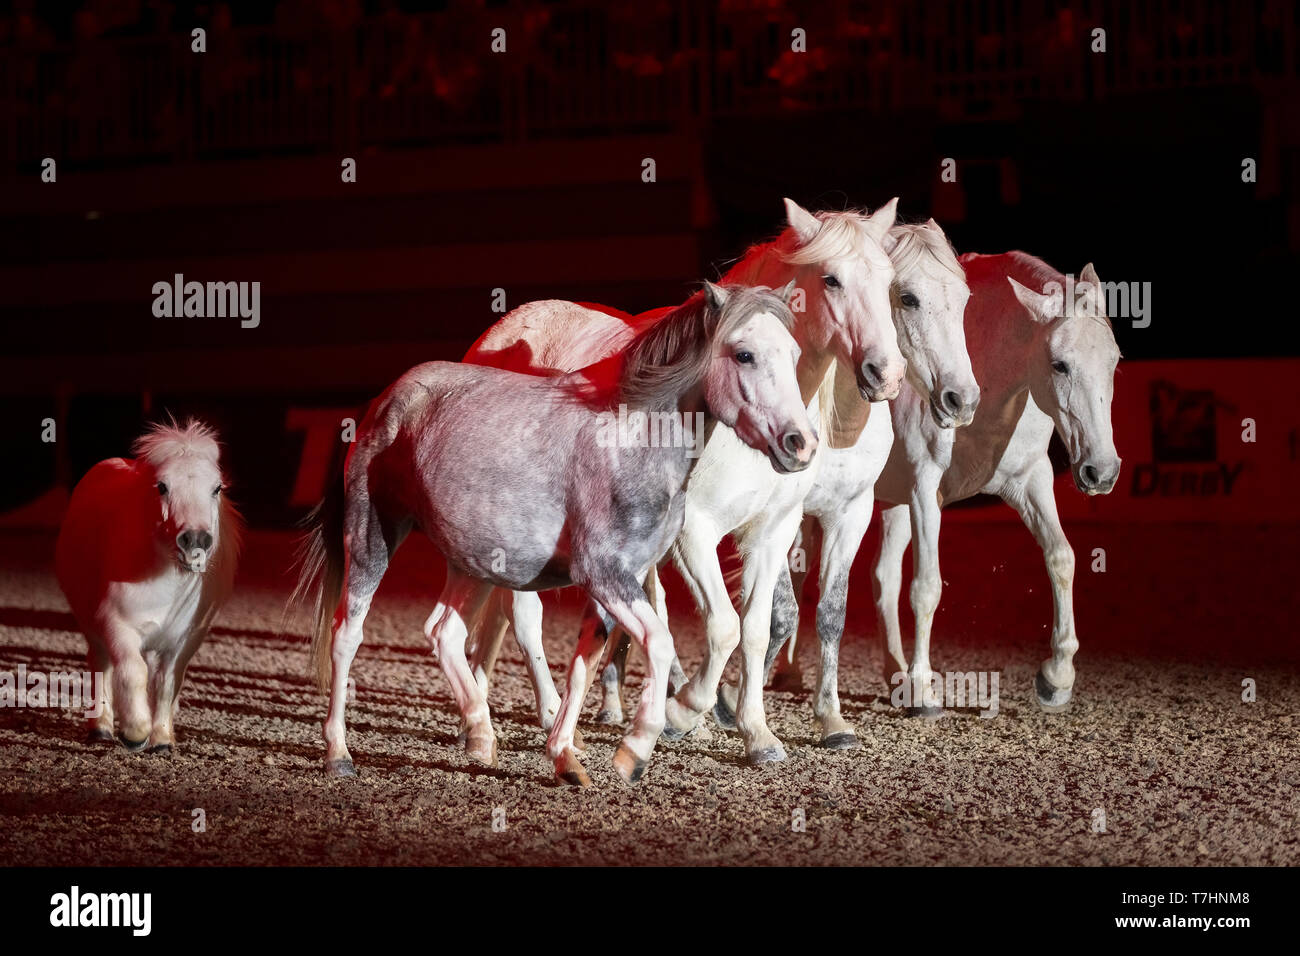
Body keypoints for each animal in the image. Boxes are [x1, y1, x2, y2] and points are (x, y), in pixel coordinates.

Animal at [55, 419, 241, 752]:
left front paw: (162, 739)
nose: (195, 541)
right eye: (163, 486)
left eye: (216, 488)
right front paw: (136, 731)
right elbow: (133, 673)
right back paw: (101, 728)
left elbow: (166, 684)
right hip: (92, 626)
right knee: (101, 664)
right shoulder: (117, 625)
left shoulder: (184, 641)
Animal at [292, 282, 816, 786]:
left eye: (794, 353)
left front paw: (566, 757)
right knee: (347, 634)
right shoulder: (604, 573)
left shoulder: (621, 582)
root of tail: (383, 400)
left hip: (473, 561)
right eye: (744, 354)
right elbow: (660, 643)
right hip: (371, 538)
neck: (628, 437)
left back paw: (481, 734)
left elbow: (583, 669)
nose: (802, 444)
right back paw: (339, 754)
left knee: (444, 632)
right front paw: (636, 750)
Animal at [460, 198, 910, 766]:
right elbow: (723, 625)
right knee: (524, 614)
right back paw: (544, 718)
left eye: (890, 279)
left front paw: (760, 733)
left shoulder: (775, 530)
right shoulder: (695, 529)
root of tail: (496, 335)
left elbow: (758, 628)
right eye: (831, 279)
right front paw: (686, 711)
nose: (886, 372)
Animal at [858, 254, 1121, 714]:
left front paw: (1057, 677)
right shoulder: (924, 488)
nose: (1101, 472)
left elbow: (1062, 558)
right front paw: (924, 691)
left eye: (1114, 361)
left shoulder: (1030, 481)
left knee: (883, 576)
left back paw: (895, 676)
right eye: (1059, 364)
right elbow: (926, 587)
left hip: (892, 502)